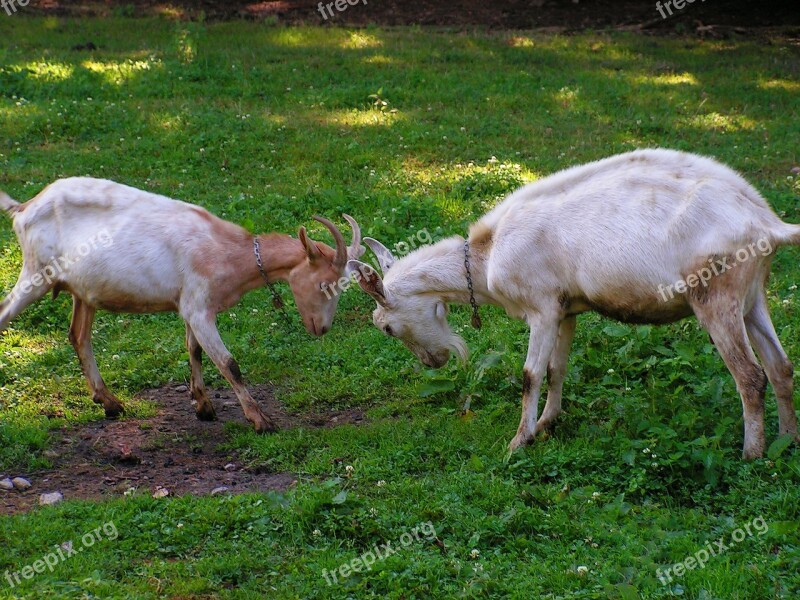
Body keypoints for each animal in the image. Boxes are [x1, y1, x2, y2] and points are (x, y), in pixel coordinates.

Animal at [0, 176, 362, 434]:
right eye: (324, 284)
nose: (322, 328)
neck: (228, 250)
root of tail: (24, 208)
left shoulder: (190, 304)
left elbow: (194, 350)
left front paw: (203, 406)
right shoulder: (200, 308)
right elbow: (229, 363)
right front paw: (261, 421)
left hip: (82, 292)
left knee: (78, 336)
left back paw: (110, 402)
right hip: (35, 273)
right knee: (7, 313)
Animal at [354, 150, 800, 460]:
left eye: (386, 327)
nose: (434, 362)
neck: (487, 254)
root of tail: (766, 222)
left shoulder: (542, 308)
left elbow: (531, 374)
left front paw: (518, 441)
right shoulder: (566, 309)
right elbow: (557, 369)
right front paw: (547, 425)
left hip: (716, 295)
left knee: (750, 375)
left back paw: (751, 455)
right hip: (752, 297)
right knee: (780, 365)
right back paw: (786, 441)